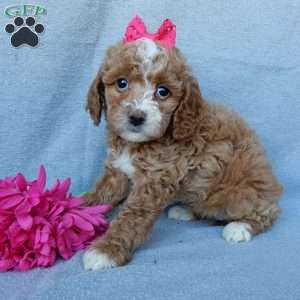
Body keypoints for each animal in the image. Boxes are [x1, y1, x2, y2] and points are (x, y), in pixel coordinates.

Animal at [81, 37, 282, 270]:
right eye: (122, 83)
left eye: (163, 91)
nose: (137, 117)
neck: (136, 144)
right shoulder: (117, 171)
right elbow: (100, 194)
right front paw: (72, 210)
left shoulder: (155, 181)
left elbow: (131, 218)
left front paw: (106, 250)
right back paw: (186, 210)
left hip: (240, 195)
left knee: (267, 212)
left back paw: (240, 227)